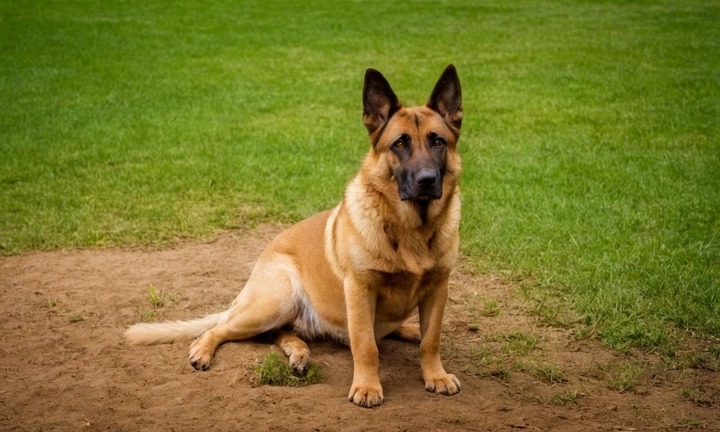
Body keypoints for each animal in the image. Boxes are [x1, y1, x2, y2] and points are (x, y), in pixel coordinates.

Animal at [126, 62, 464, 406]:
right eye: (400, 143)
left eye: (438, 141)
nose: (427, 180)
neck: (411, 228)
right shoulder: (359, 290)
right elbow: (365, 344)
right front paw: (368, 386)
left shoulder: (438, 289)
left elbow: (431, 339)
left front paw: (435, 375)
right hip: (274, 301)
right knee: (225, 328)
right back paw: (207, 349)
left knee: (283, 333)